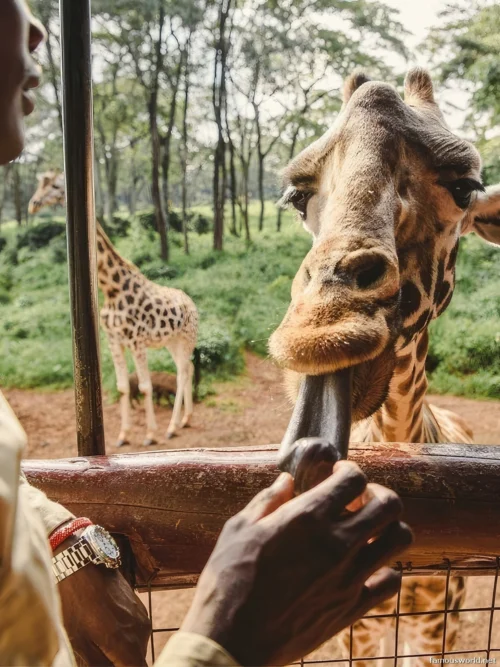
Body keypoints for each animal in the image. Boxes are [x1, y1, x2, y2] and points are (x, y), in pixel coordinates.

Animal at [28, 171, 198, 447]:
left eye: (54, 185)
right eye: (39, 185)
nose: (33, 204)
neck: (112, 288)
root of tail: (191, 303)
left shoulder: (136, 341)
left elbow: (145, 386)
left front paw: (150, 434)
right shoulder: (114, 341)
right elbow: (123, 386)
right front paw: (123, 435)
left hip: (186, 338)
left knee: (183, 372)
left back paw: (172, 427)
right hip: (171, 342)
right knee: (187, 368)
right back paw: (185, 418)